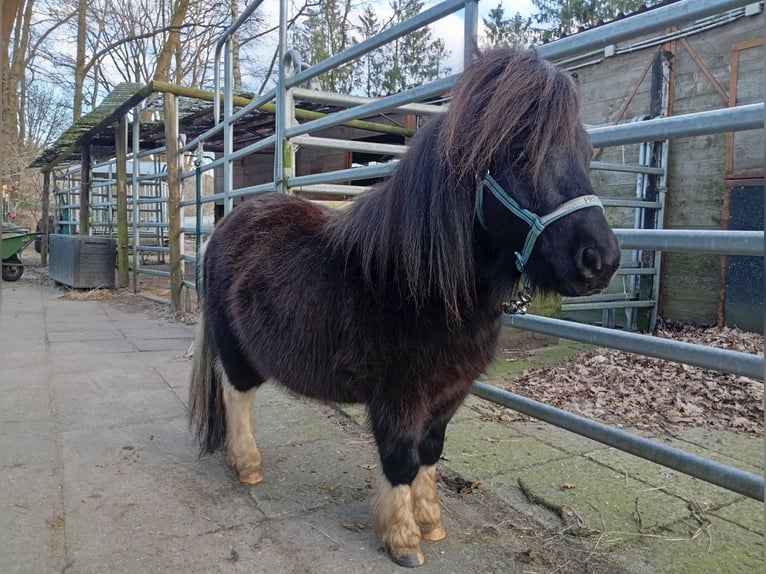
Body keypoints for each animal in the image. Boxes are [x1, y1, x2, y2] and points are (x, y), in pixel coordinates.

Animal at [190, 47, 624, 568]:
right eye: (520, 153)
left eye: (587, 152)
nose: (600, 260)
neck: (417, 284)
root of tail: (227, 224)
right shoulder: (397, 397)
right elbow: (400, 458)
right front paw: (402, 539)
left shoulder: (448, 394)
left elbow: (430, 453)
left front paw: (431, 521)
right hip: (235, 349)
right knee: (237, 395)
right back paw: (248, 464)